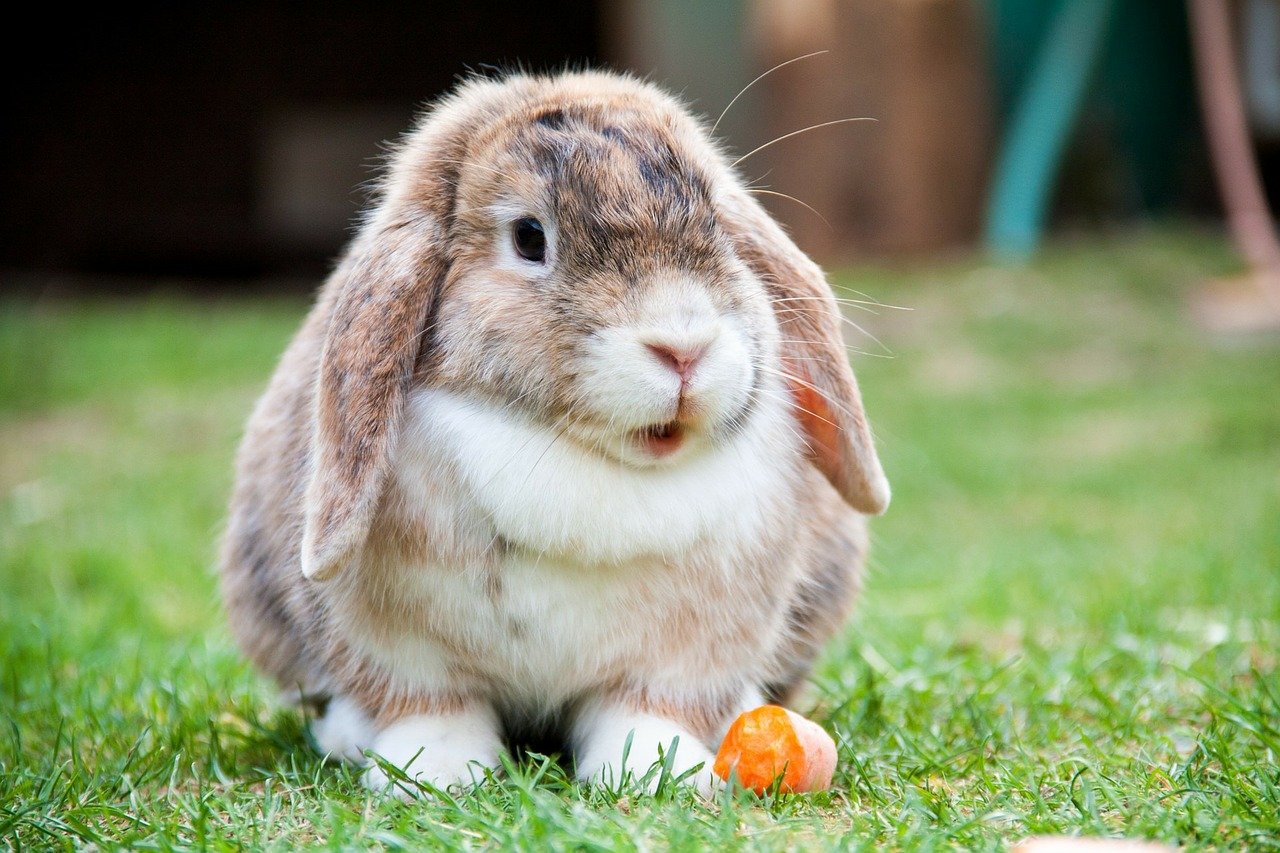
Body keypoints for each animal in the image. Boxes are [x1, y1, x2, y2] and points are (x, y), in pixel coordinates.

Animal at [217, 69, 890, 794]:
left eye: (716, 220)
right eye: (529, 238)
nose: (683, 348)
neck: (583, 457)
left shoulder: (684, 654)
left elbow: (645, 710)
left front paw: (655, 773)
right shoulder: (402, 650)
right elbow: (433, 708)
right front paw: (435, 774)